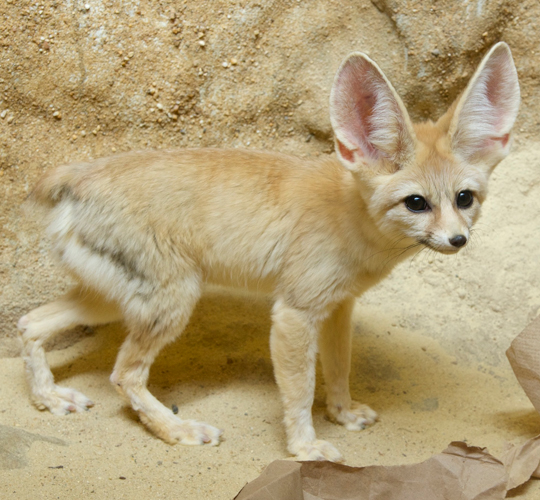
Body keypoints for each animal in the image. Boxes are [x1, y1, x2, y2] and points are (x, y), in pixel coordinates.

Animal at [19, 43, 520, 460]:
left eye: (464, 199)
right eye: (416, 203)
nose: (458, 240)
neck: (351, 216)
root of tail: (78, 173)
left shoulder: (338, 308)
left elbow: (339, 369)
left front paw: (342, 414)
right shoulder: (295, 313)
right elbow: (299, 391)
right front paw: (305, 447)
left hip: (112, 300)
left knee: (29, 324)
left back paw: (49, 399)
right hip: (172, 301)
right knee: (123, 375)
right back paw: (177, 429)